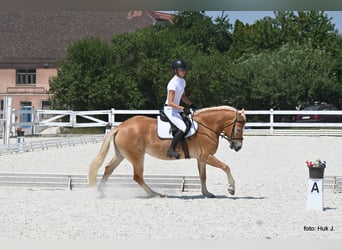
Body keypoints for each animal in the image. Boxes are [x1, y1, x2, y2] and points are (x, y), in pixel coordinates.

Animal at [88, 105, 246, 197]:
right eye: (239, 128)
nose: (238, 147)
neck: (206, 127)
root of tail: (120, 126)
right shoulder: (207, 156)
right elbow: (226, 167)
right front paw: (231, 188)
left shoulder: (201, 158)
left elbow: (203, 176)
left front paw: (206, 193)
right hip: (137, 157)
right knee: (137, 177)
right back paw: (155, 194)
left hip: (121, 155)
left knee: (108, 169)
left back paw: (101, 192)